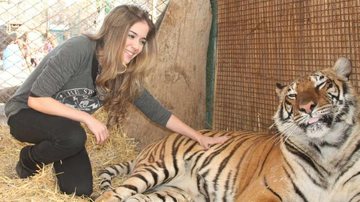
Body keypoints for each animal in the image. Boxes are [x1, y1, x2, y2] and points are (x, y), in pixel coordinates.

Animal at [95, 57, 360, 202]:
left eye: (322, 84)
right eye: (292, 96)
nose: (306, 107)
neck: (328, 152)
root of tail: (151, 145)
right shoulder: (261, 192)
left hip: (172, 193)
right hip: (158, 168)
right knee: (111, 194)